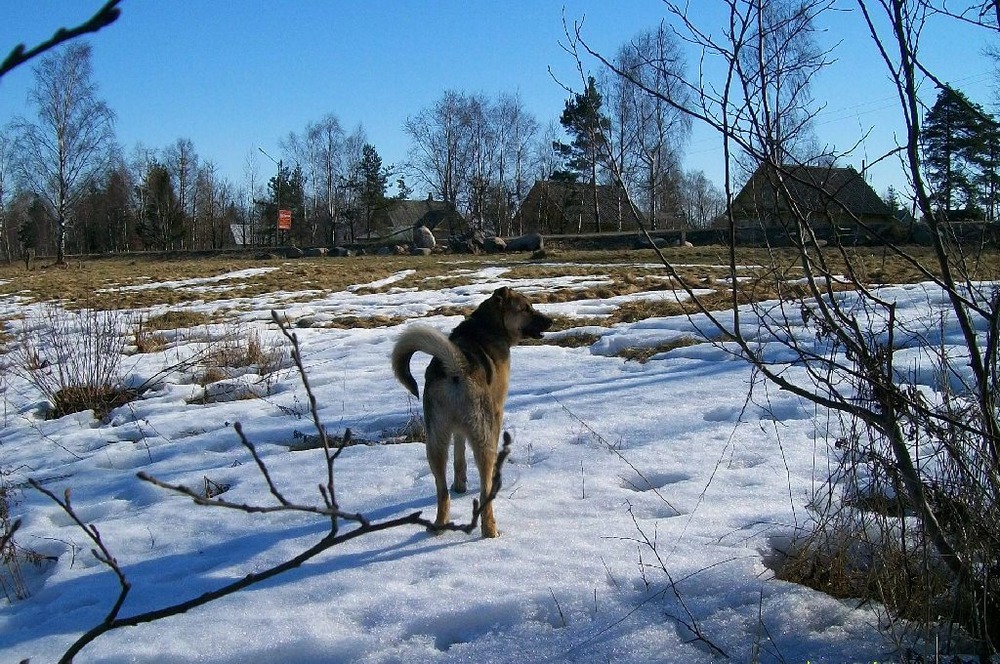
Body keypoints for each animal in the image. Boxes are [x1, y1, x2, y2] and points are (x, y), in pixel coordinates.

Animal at [390, 288, 552, 536]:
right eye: (526, 308)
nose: (551, 321)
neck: (488, 325)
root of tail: (456, 368)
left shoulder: (457, 430)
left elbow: (459, 454)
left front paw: (460, 484)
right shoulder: (497, 410)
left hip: (435, 440)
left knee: (442, 490)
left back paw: (440, 525)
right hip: (482, 434)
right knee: (485, 492)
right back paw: (490, 529)